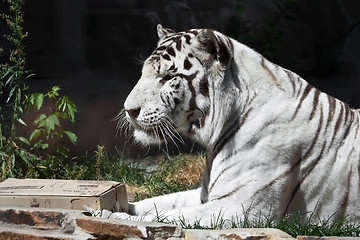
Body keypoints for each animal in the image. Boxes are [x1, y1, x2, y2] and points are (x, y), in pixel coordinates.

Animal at [113, 25, 360, 226]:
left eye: (167, 77)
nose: (129, 109)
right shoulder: (206, 193)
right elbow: (157, 203)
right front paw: (122, 207)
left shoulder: (241, 208)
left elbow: (165, 216)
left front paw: (115, 216)